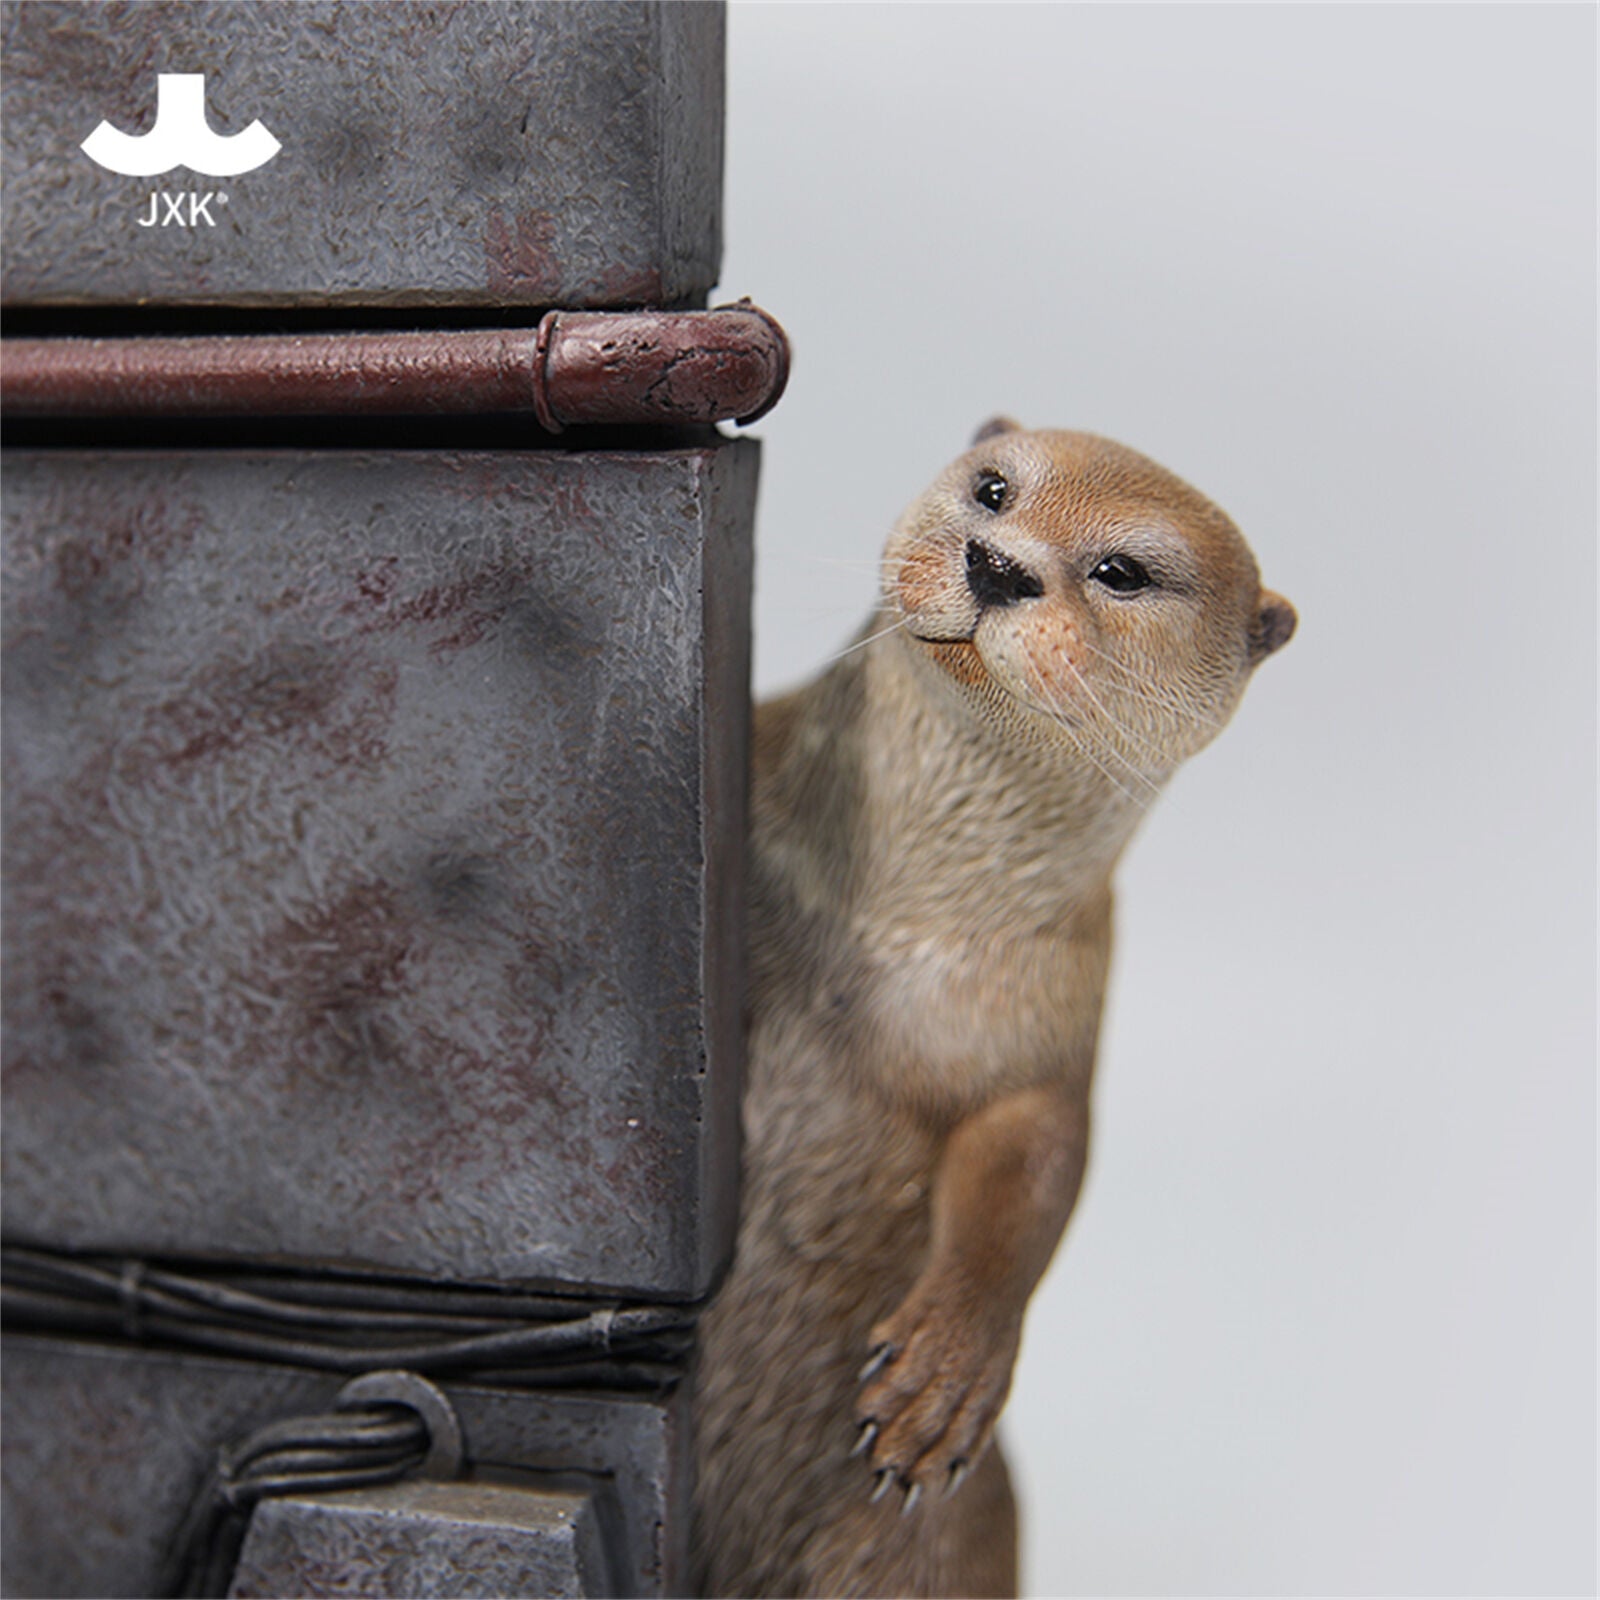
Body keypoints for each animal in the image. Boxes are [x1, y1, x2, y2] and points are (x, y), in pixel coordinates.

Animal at [691, 423, 1295, 1598]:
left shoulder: (1051, 1018)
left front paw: (945, 1373)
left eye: (1122, 571)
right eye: (994, 488)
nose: (999, 564)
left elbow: (1037, 1166)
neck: (891, 928)